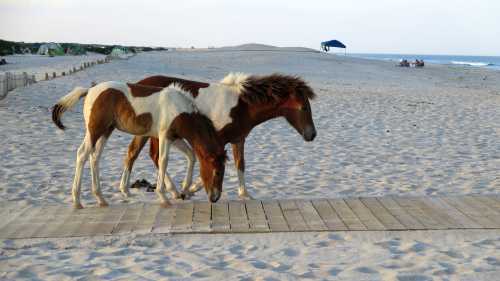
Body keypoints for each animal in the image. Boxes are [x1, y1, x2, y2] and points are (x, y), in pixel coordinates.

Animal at [51, 81, 227, 208]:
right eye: (217, 172)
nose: (215, 198)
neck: (179, 109)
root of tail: (89, 90)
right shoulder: (164, 136)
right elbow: (163, 161)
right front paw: (163, 197)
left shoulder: (175, 138)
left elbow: (191, 156)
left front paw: (184, 190)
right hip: (95, 131)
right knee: (82, 154)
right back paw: (77, 201)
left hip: (106, 131)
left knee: (95, 157)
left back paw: (101, 199)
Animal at [119, 72, 316, 199]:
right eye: (303, 108)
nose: (312, 135)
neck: (240, 107)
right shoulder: (216, 140)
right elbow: (210, 164)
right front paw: (191, 189)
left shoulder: (238, 140)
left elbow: (240, 165)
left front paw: (245, 194)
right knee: (154, 156)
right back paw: (173, 191)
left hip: (147, 133)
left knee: (134, 153)